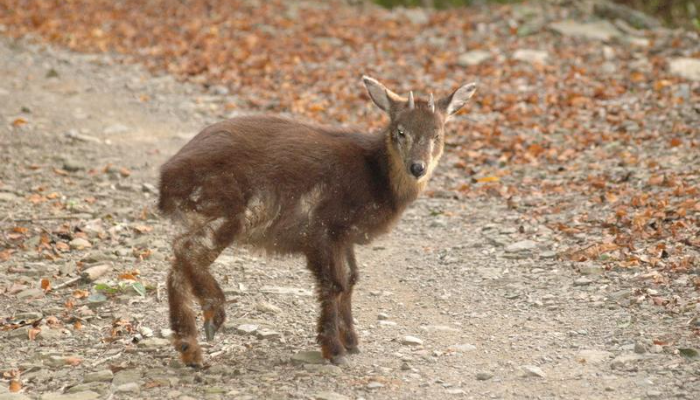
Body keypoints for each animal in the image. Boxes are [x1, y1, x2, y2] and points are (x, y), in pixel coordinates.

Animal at [158, 76, 476, 368]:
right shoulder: (323, 225)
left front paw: (351, 341)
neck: (376, 178)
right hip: (232, 207)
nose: (417, 167)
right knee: (186, 249)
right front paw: (333, 348)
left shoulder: (345, 235)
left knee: (178, 261)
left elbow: (351, 279)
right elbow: (333, 283)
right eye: (401, 132)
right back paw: (213, 317)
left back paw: (190, 349)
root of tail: (166, 178)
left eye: (438, 134)